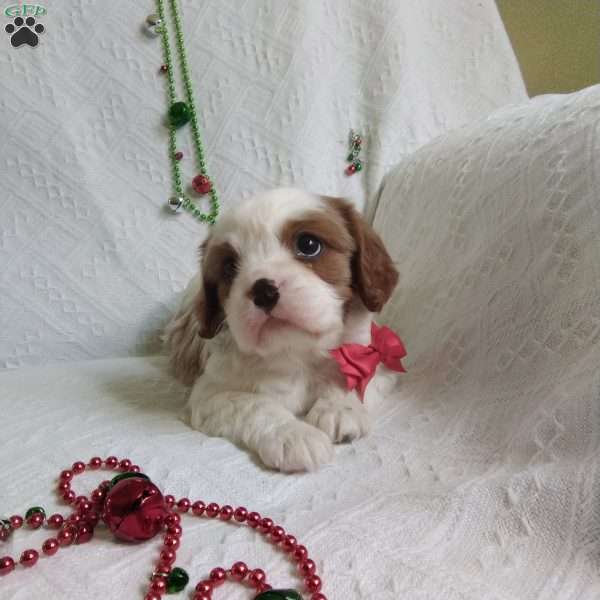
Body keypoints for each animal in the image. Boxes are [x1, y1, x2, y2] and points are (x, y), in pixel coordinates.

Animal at [165, 190, 398, 472]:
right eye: (229, 267)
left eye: (308, 245)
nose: (263, 290)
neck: (297, 351)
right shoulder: (209, 394)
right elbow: (254, 404)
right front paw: (294, 434)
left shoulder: (378, 360)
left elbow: (353, 378)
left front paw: (340, 408)